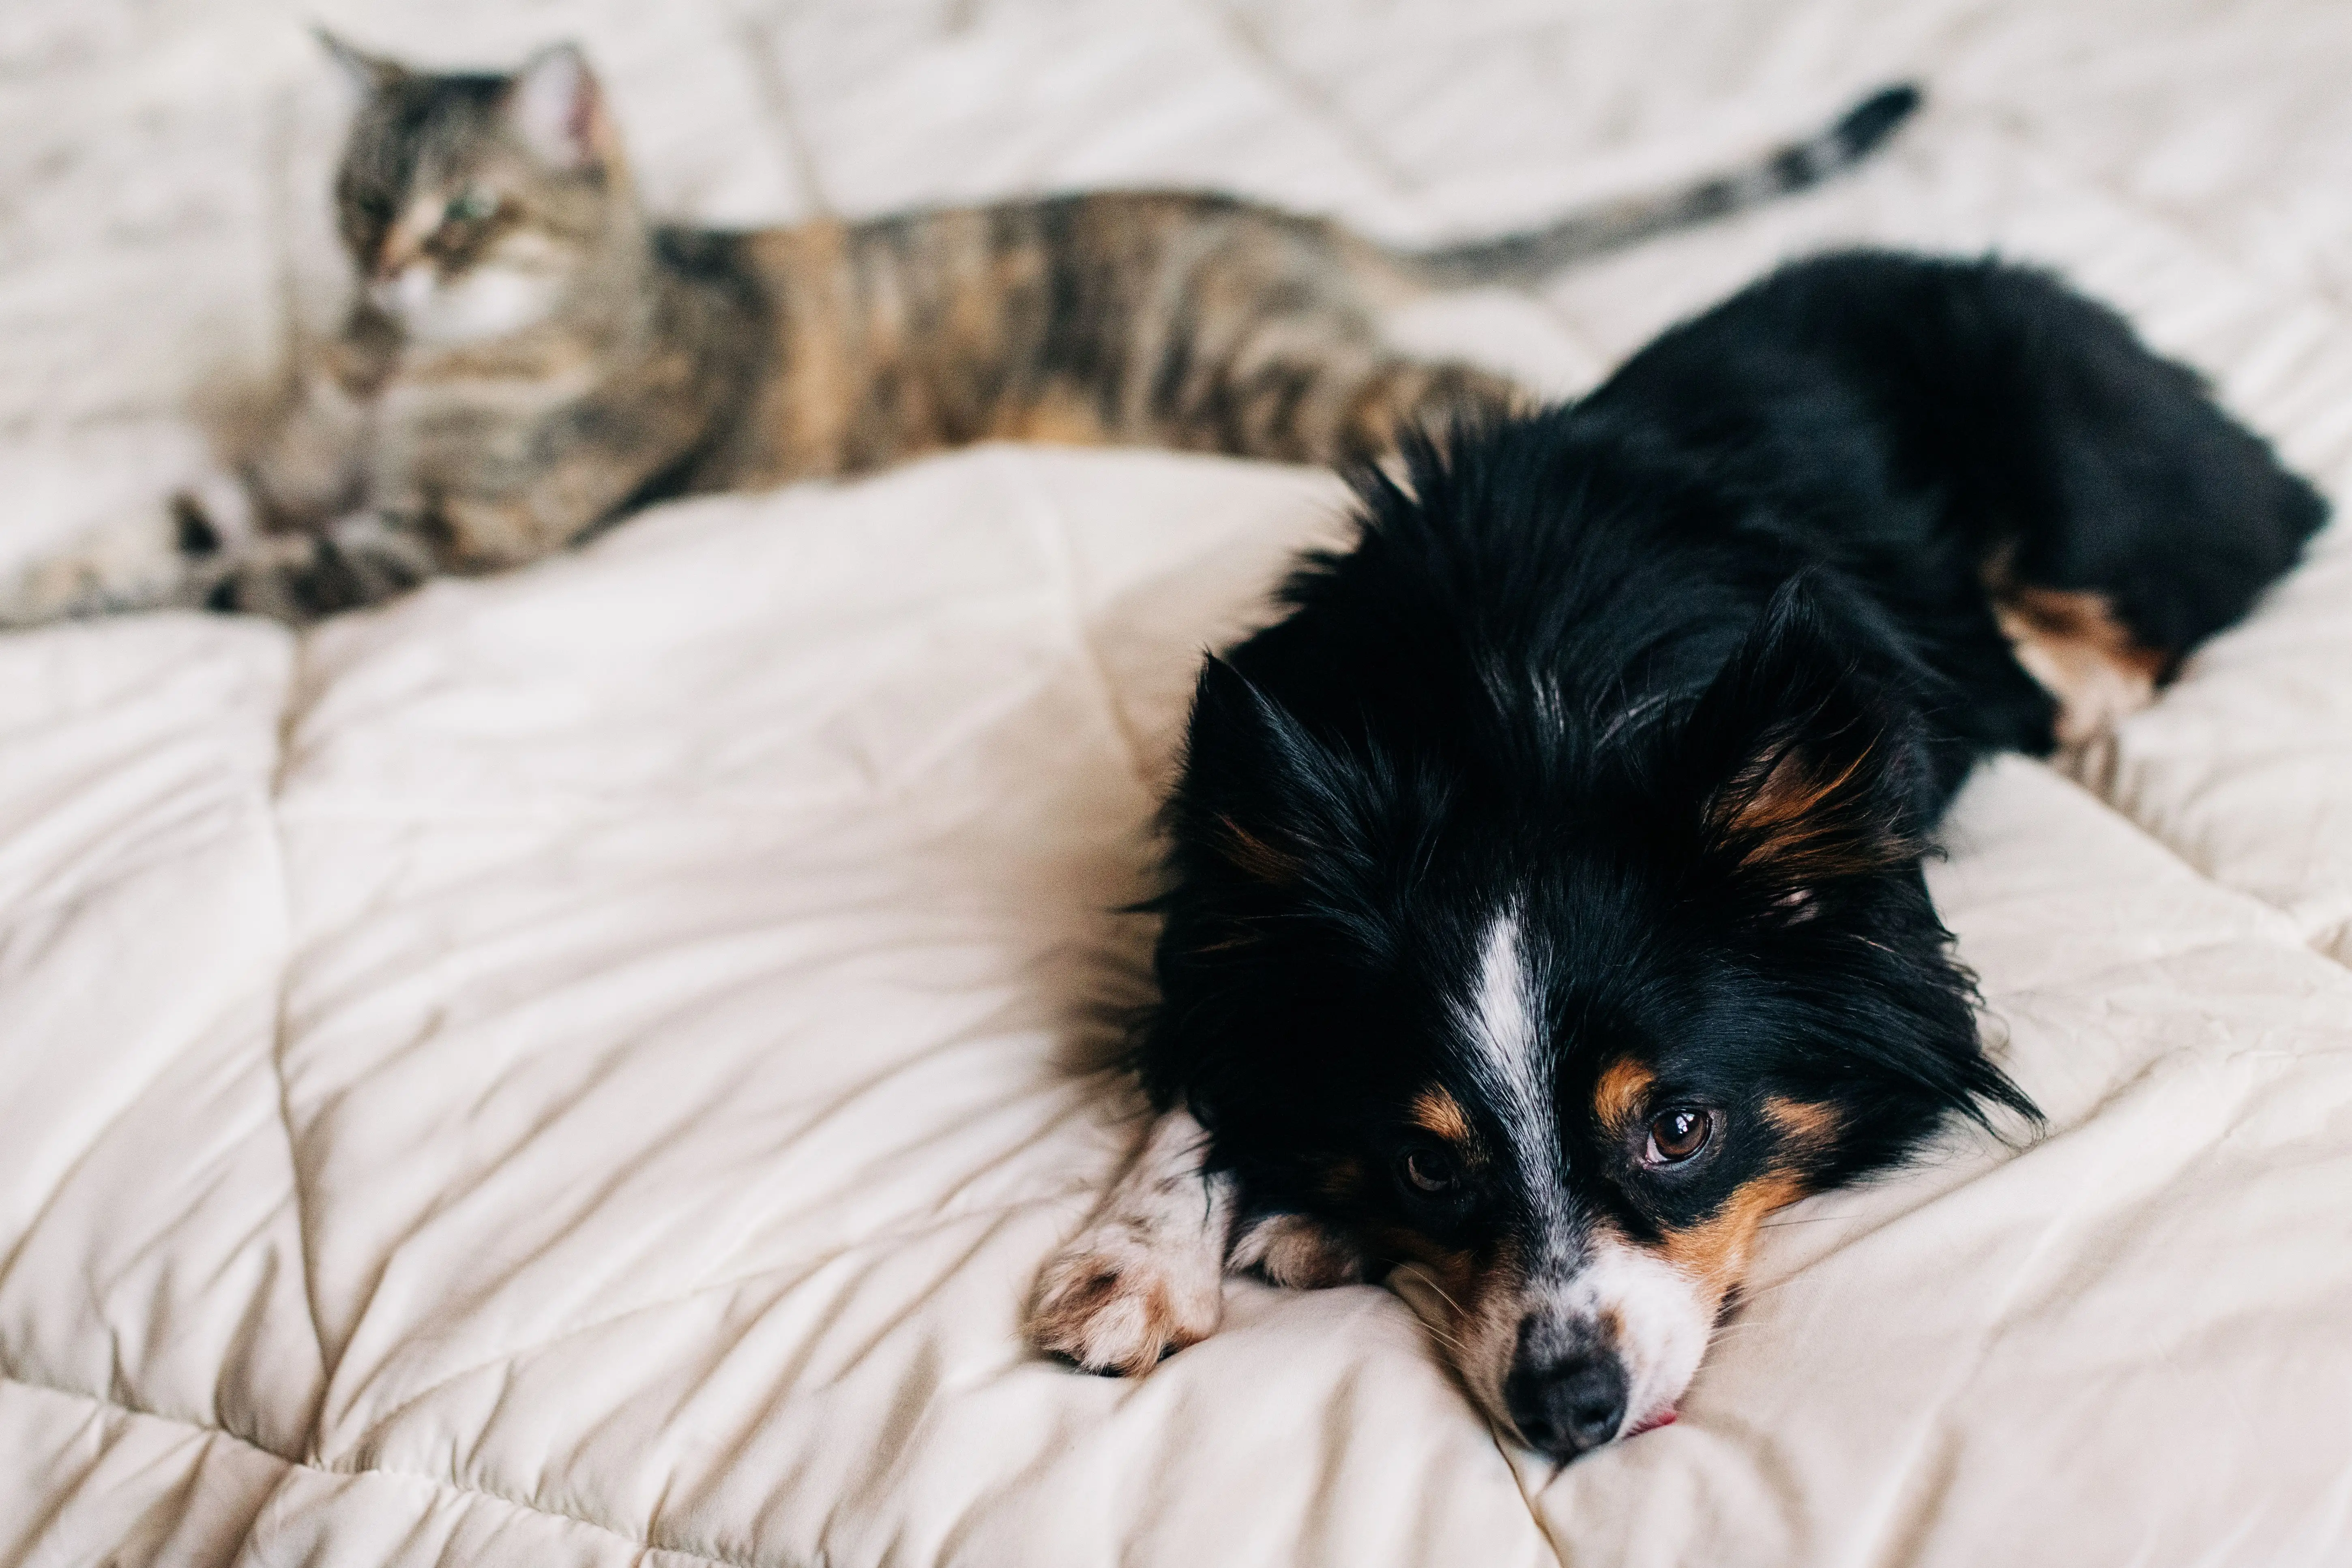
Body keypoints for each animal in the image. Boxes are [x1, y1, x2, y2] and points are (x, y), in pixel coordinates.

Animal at [0, 36, 1919, 625]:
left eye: (465, 217)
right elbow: (143, 530)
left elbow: (210, 586)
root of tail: (1284, 217)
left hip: (1275, 377)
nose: (388, 269)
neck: (394, 375)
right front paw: (42, 575)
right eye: (352, 205)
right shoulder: (275, 478)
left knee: (1503, 381)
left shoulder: (426, 533)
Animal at [1025, 251, 2314, 1467]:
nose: (1567, 1408)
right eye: (1426, 1166)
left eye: (1680, 1131)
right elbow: (1195, 1088)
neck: (1521, 731)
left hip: (2086, 478)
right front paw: (1133, 1264)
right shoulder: (1220, 913)